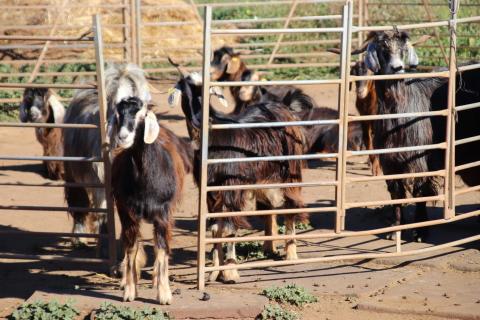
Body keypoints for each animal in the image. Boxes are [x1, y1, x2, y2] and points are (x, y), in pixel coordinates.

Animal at [62, 62, 150, 248]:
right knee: (79, 201)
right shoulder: (100, 182)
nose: (125, 136)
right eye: (117, 106)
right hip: (72, 170)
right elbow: (103, 213)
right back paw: (79, 238)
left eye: (143, 110)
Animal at [171, 67, 310, 282]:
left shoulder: (231, 188)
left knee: (290, 203)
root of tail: (285, 106)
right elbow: (215, 228)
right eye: (185, 90)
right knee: (268, 206)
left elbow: (229, 227)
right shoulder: (210, 191)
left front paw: (230, 272)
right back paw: (269, 247)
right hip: (263, 177)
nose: (197, 117)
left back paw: (291, 254)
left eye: (207, 90)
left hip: (290, 170)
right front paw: (214, 272)